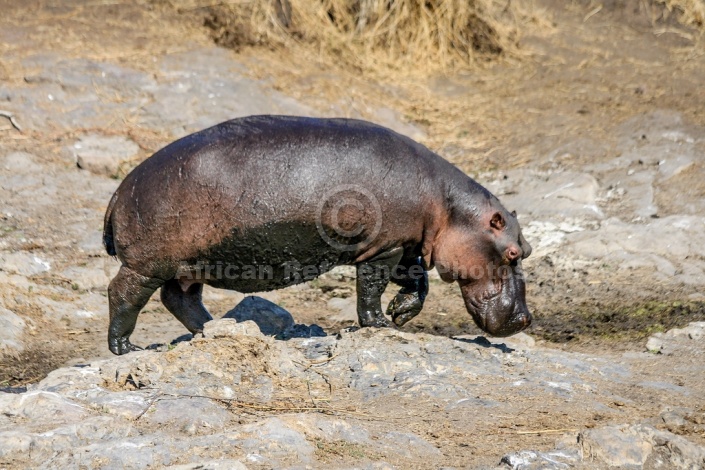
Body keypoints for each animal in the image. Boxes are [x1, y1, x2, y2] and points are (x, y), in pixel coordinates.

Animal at [104, 115, 532, 354]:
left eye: (526, 249)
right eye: (513, 253)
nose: (526, 319)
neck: (449, 207)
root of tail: (118, 192)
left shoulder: (404, 243)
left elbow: (417, 281)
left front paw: (401, 313)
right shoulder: (384, 248)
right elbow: (371, 289)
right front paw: (378, 324)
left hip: (188, 265)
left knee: (180, 299)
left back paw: (214, 330)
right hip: (149, 263)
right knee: (124, 293)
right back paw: (125, 347)